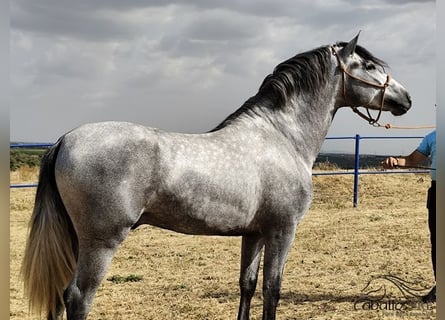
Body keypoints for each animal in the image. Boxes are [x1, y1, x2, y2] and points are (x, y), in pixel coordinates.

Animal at [20, 35, 410, 320]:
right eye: (369, 65)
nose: (406, 98)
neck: (281, 136)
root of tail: (65, 140)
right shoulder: (282, 230)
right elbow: (272, 290)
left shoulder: (254, 233)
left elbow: (247, 285)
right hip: (101, 242)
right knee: (78, 297)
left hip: (76, 240)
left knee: (60, 295)